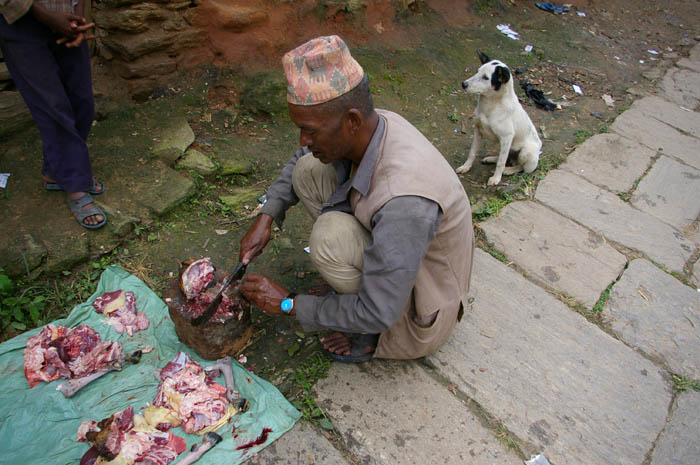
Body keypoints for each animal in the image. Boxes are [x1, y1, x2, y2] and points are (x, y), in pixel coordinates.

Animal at [456, 50, 544, 185]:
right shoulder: (478, 130)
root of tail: (539, 150)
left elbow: (501, 163)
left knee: (520, 167)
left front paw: (496, 178)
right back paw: (491, 158)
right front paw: (466, 167)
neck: (490, 105)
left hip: (526, 152)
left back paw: (509, 170)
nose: (463, 84)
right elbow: (472, 152)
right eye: (477, 71)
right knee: (506, 157)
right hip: (505, 146)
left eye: (486, 78)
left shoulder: (507, 137)